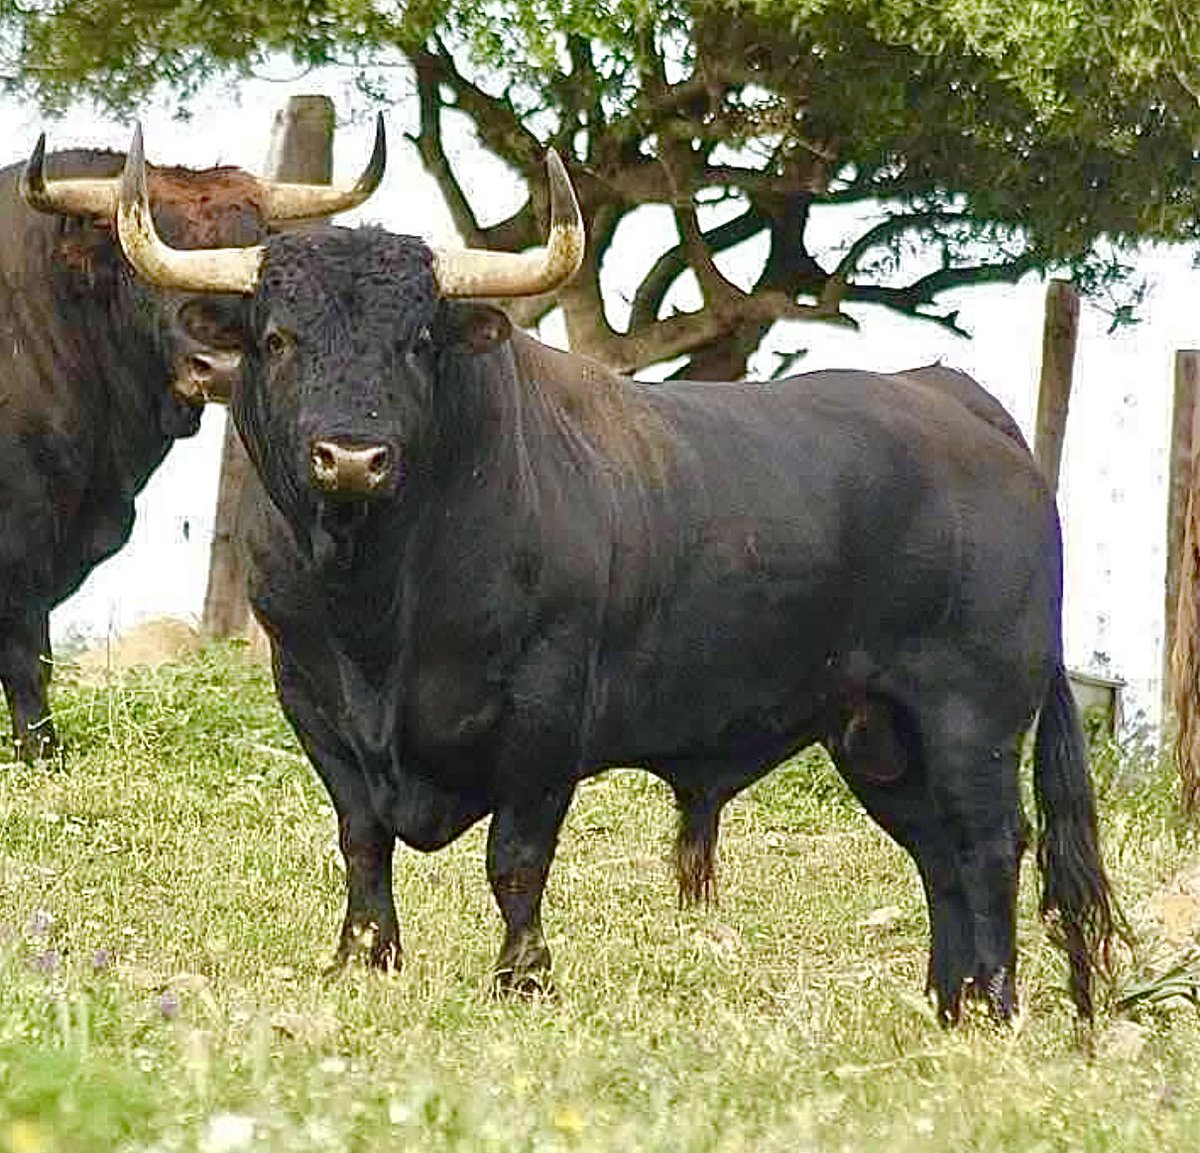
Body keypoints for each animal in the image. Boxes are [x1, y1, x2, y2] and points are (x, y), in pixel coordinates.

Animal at [115, 125, 1119, 1024]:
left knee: (989, 844)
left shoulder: (545, 710)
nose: (353, 457)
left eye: (418, 343)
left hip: (971, 714)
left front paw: (522, 980)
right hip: (878, 732)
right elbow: (362, 840)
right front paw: (363, 959)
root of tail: (958, 399)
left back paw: (992, 1004)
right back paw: (949, 1003)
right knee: (939, 854)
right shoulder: (312, 697)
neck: (381, 609)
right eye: (279, 338)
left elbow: (517, 857)